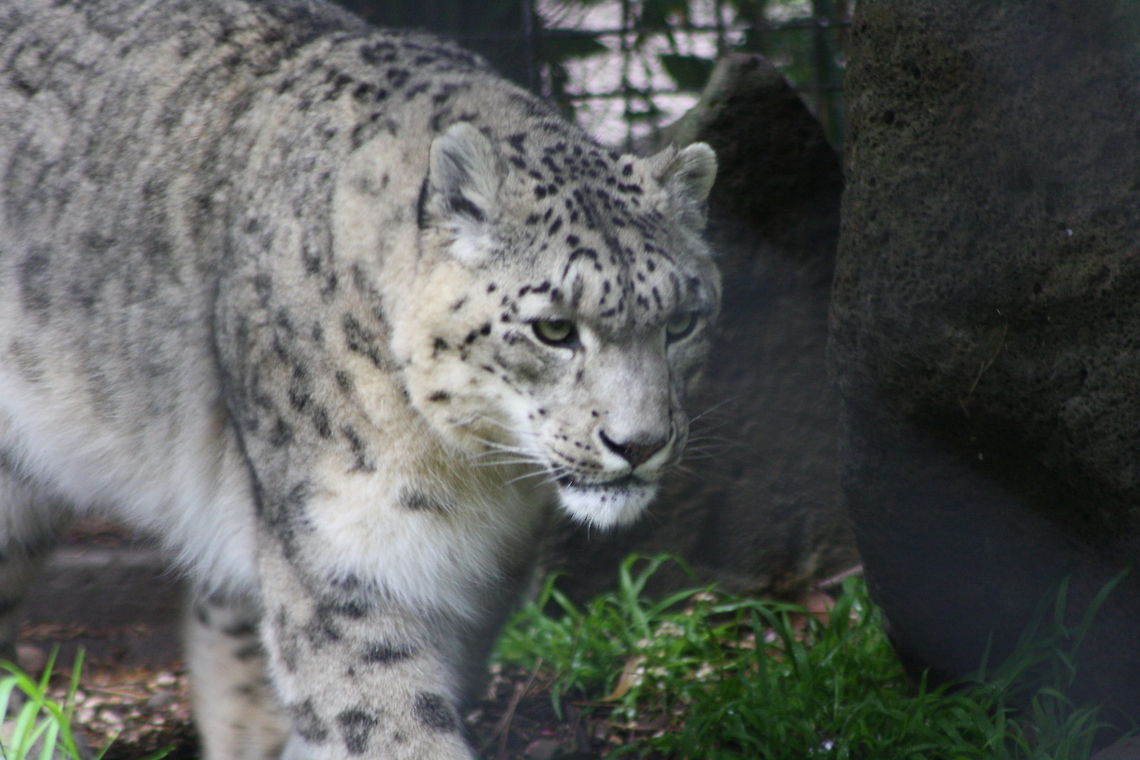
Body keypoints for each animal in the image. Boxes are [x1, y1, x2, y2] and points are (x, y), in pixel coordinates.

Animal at [0, 0, 719, 757]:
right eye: (553, 328)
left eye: (681, 322)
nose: (640, 443)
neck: (474, 479)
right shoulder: (346, 559)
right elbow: (386, 718)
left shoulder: (477, 586)